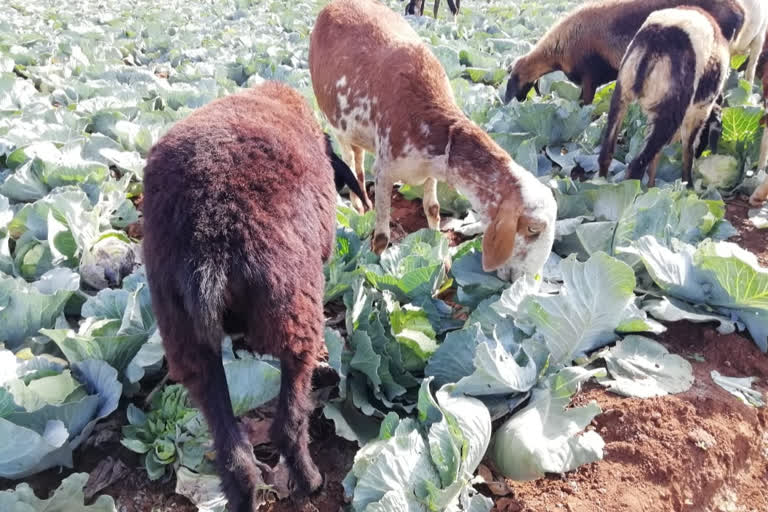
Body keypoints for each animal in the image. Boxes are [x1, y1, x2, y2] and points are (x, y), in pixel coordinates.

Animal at [142, 82, 366, 510]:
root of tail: (208, 239)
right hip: (296, 316)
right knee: (287, 425)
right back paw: (310, 481)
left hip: (186, 341)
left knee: (233, 452)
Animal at [308, 0, 556, 282]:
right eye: (533, 228)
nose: (523, 279)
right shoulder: (384, 171)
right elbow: (381, 236)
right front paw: (373, 265)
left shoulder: (430, 170)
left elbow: (434, 209)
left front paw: (439, 253)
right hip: (333, 122)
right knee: (351, 163)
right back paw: (360, 206)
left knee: (358, 162)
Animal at [596, 6, 728, 188]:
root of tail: (657, 38)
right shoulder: (696, 115)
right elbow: (688, 152)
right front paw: (688, 187)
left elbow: (656, 160)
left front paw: (652, 188)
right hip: (669, 117)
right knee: (636, 167)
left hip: (620, 97)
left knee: (606, 154)